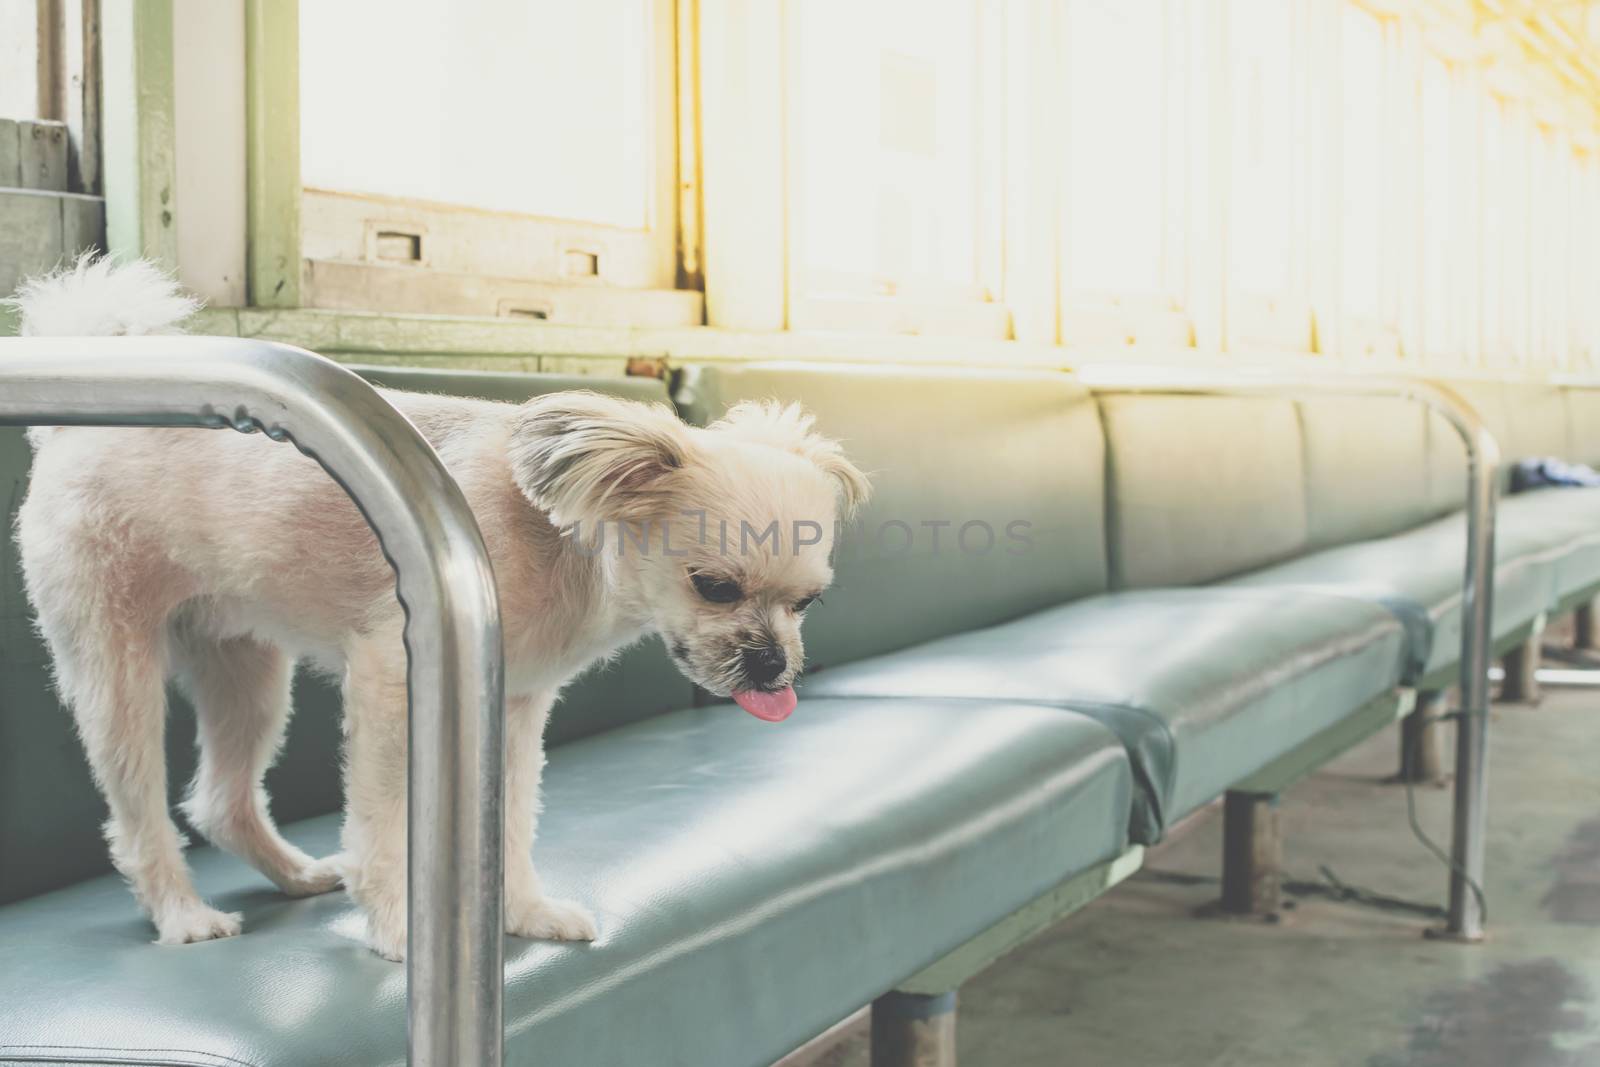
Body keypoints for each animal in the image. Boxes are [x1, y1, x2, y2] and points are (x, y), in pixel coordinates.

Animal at [6, 259, 870, 959]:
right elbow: (386, 824)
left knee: (220, 800)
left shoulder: (510, 708)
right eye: (714, 586)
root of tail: (71, 429)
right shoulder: (395, 684)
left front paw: (521, 911)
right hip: (115, 669)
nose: (774, 665)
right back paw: (182, 914)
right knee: (138, 813)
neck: (558, 540)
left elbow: (512, 820)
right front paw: (396, 926)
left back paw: (294, 874)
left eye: (808, 602)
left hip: (244, 673)